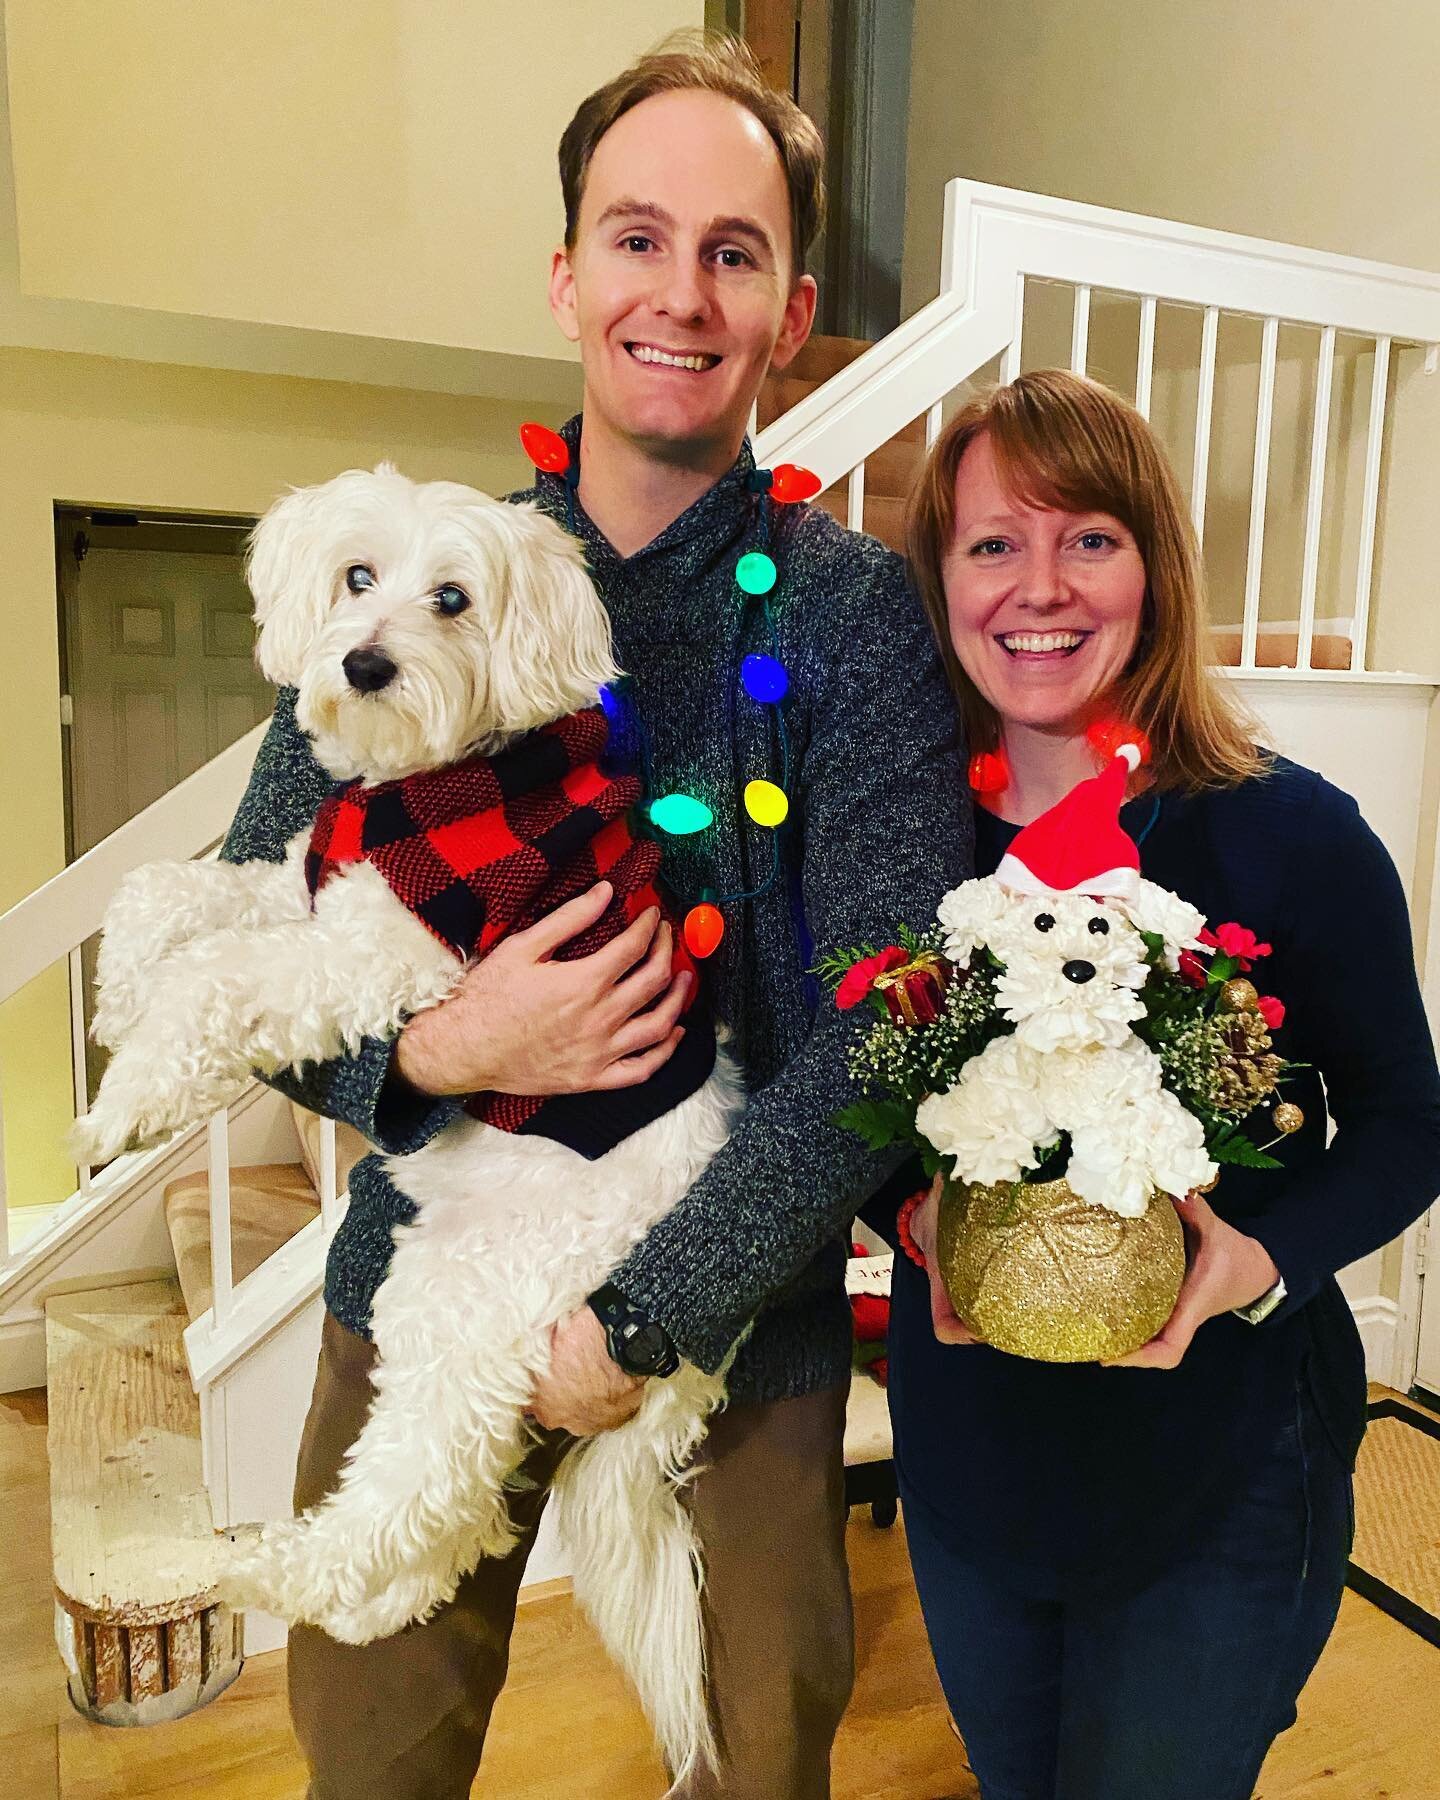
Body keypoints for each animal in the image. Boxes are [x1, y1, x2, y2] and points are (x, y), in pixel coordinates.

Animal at [67, 464, 741, 1785]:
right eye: (357, 576)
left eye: (454, 598)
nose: (367, 662)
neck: (422, 785)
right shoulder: (299, 881)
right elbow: (162, 891)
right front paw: (116, 999)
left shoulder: (376, 953)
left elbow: (215, 977)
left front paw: (129, 1095)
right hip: (440, 1293)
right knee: (461, 1509)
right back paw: (380, 1604)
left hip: (477, 1297)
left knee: (416, 1487)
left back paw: (280, 1570)